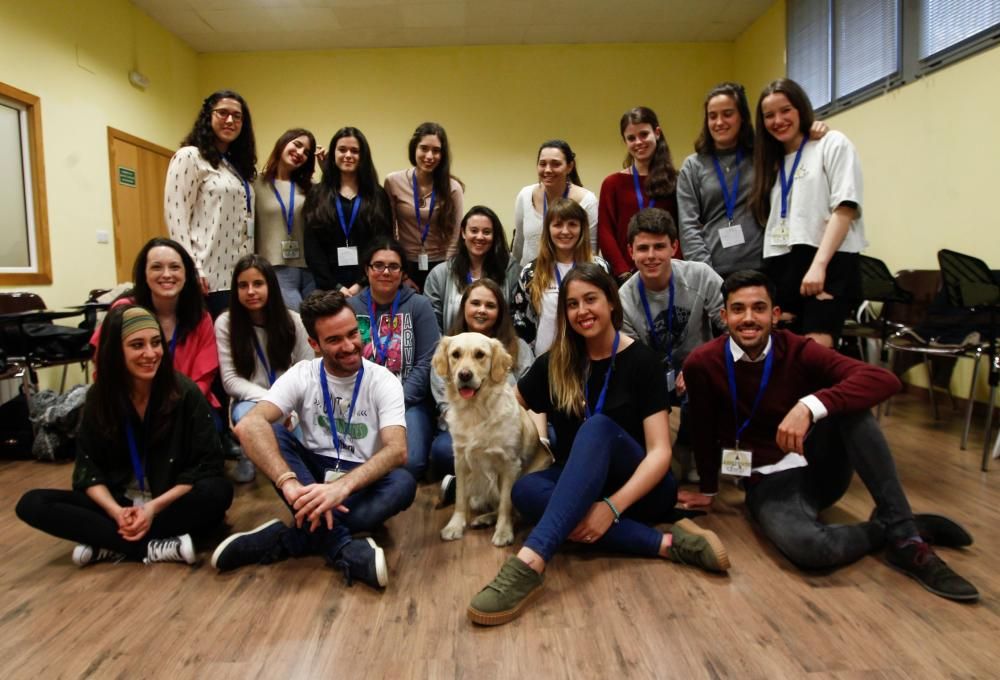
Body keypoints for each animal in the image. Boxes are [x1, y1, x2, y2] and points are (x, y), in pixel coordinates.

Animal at [434, 334, 552, 548]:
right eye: (455, 354)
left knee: (513, 510)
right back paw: (483, 518)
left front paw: (504, 532)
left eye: (480, 354)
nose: (464, 375)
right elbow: (460, 498)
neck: (476, 410)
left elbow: (506, 503)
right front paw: (455, 526)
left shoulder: (510, 465)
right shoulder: (460, 460)